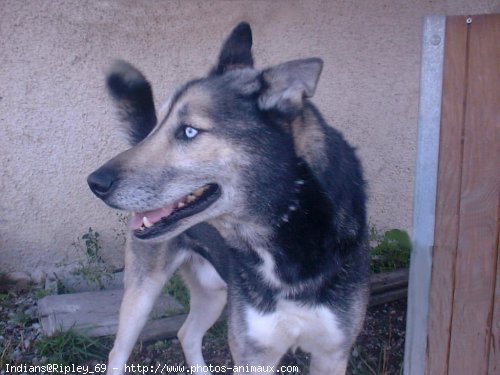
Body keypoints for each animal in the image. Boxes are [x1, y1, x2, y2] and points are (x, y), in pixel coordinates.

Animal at [87, 23, 368, 375]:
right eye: (159, 125)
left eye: (189, 131)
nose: (95, 182)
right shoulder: (254, 353)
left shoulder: (332, 352)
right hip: (142, 293)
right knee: (118, 353)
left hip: (214, 293)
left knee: (187, 334)